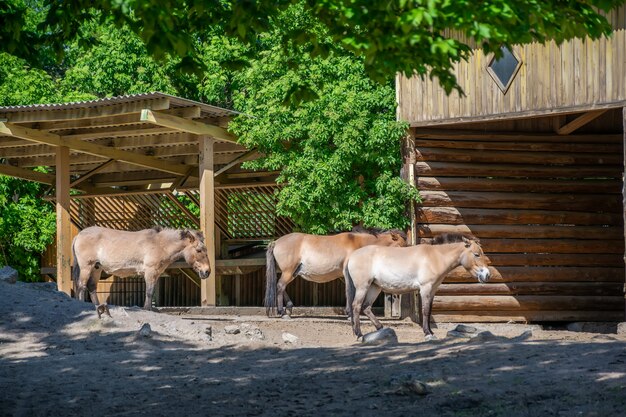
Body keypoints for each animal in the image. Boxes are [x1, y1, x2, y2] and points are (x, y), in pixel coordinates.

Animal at [72, 226, 211, 316]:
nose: (207, 271)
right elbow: (149, 292)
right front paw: (147, 309)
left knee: (91, 287)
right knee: (81, 286)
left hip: (96, 268)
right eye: (199, 250)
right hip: (86, 267)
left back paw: (98, 308)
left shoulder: (156, 273)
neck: (160, 244)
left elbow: (151, 291)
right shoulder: (150, 271)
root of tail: (78, 235)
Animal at [262, 226, 404, 316]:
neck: (357, 243)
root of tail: (276, 242)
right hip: (288, 272)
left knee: (281, 286)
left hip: (292, 273)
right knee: (280, 286)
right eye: (402, 245)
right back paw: (281, 311)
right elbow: (349, 291)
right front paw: (349, 313)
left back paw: (289, 307)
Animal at [344, 232, 490, 340]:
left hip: (375, 287)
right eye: (476, 254)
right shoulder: (425, 288)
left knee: (366, 307)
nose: (487, 275)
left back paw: (380, 329)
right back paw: (359, 335)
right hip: (363, 287)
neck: (435, 257)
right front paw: (428, 334)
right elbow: (425, 311)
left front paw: (431, 332)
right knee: (356, 306)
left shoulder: (433, 290)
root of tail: (352, 256)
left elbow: (429, 310)